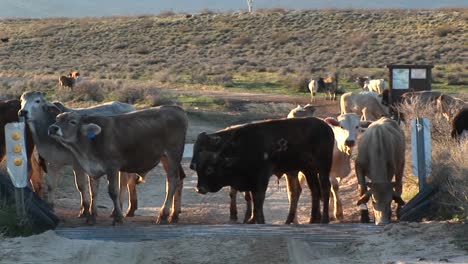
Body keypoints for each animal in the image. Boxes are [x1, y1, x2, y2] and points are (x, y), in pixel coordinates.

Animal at [18, 92, 135, 220]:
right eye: (21, 100)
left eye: (37, 101)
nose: (23, 112)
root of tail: (130, 107)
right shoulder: (51, 163)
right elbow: (51, 185)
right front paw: (51, 207)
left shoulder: (77, 163)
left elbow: (81, 186)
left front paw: (85, 210)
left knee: (124, 181)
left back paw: (119, 209)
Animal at [47, 105, 186, 225]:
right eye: (57, 119)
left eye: (72, 122)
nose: (53, 128)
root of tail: (175, 108)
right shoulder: (92, 170)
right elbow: (93, 193)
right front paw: (91, 217)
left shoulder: (112, 168)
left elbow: (114, 191)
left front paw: (118, 217)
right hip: (165, 158)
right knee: (177, 179)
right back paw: (173, 215)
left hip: (172, 155)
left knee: (172, 180)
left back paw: (163, 215)